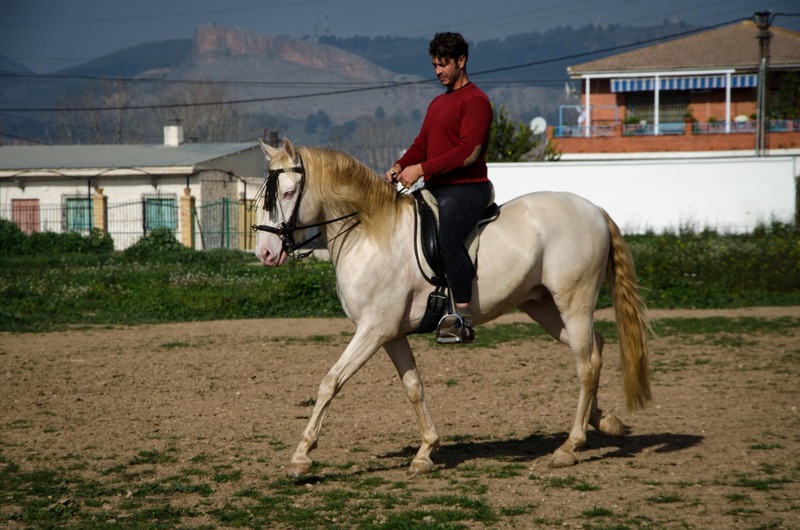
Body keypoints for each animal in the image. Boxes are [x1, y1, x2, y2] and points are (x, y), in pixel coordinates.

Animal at [253, 138, 651, 477]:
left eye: (287, 193)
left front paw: (301, 457)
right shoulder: (390, 333)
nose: (266, 254)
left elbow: (330, 382)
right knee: (593, 349)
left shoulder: (373, 329)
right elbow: (414, 387)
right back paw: (604, 421)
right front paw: (426, 452)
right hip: (544, 307)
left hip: (574, 301)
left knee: (585, 364)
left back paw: (570, 447)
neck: (368, 233)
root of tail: (592, 209)